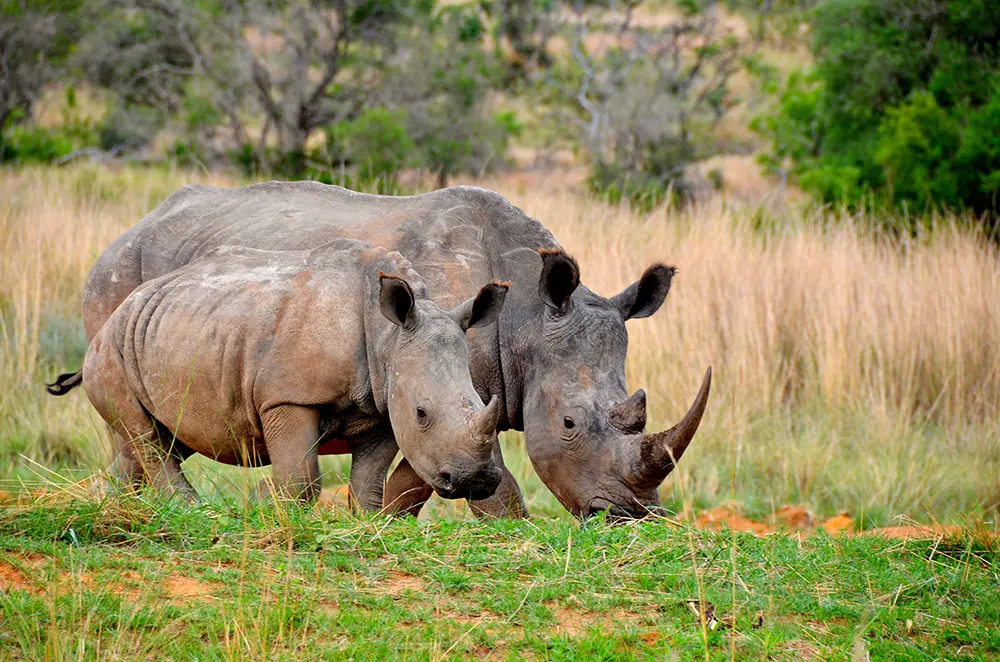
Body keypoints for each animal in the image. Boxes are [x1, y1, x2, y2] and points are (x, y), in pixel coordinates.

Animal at [73, 239, 508, 506]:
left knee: (163, 438)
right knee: (145, 436)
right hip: (110, 346)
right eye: (422, 413)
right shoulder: (287, 397)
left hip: (169, 330)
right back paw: (192, 510)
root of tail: (123, 306)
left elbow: (368, 484)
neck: (387, 335)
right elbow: (301, 479)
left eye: (480, 400)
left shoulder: (383, 403)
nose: (476, 481)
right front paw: (270, 511)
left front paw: (366, 523)